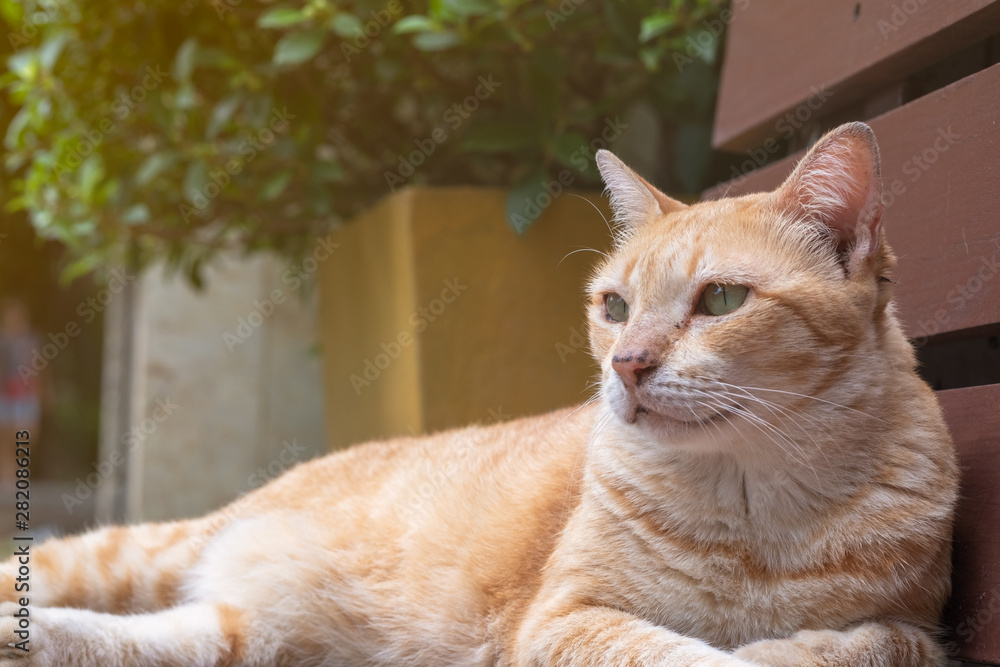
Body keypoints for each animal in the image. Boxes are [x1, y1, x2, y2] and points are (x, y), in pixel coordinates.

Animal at [0, 122, 956, 664]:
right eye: (614, 306)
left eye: (720, 300)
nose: (627, 364)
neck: (756, 508)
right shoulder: (566, 620)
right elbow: (693, 656)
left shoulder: (913, 625)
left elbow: (869, 643)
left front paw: (800, 644)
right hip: (146, 553)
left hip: (231, 633)